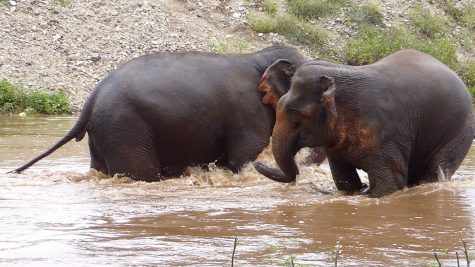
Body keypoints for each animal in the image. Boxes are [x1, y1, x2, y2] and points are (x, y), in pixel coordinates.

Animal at [13, 46, 308, 183]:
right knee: (141, 174)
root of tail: (90, 100)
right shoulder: (247, 112)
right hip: (124, 128)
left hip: (105, 134)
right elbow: (245, 156)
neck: (259, 58)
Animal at [256, 49, 475, 199]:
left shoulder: (384, 133)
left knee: (436, 170)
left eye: (296, 114)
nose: (258, 163)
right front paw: (357, 191)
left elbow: (390, 181)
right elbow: (345, 180)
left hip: (459, 133)